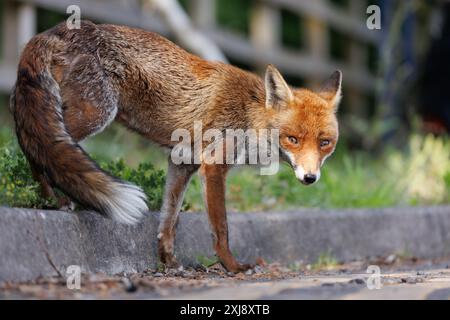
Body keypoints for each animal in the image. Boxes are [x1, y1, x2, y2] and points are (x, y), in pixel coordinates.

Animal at [10, 20, 342, 272]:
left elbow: (169, 220)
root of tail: (52, 31)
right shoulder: (213, 166)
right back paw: (53, 199)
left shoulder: (183, 162)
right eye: (292, 139)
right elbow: (221, 229)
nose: (310, 178)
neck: (250, 115)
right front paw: (233, 267)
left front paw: (168, 262)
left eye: (325, 143)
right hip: (92, 115)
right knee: (32, 146)